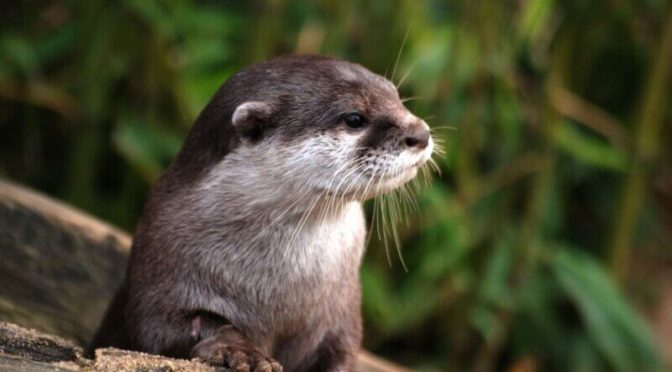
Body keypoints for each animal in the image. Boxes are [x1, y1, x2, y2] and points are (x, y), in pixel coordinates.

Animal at [89, 55, 434, 372]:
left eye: (395, 96)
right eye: (354, 118)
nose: (421, 134)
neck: (278, 291)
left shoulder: (341, 314)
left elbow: (342, 351)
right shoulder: (161, 268)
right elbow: (169, 327)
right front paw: (242, 351)